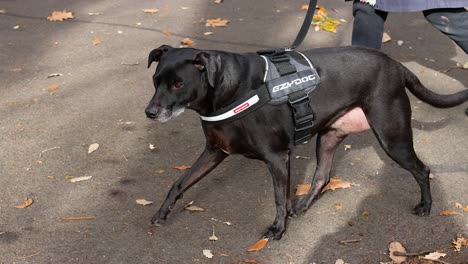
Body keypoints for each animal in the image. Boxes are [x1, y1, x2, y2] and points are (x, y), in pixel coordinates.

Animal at [145, 44, 468, 239]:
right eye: (156, 81)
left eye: (179, 84)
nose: (150, 112)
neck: (229, 89)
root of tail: (396, 65)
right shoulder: (214, 151)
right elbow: (179, 183)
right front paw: (162, 212)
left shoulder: (277, 158)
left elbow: (278, 197)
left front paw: (278, 228)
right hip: (328, 137)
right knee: (322, 177)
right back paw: (302, 207)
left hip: (393, 138)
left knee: (422, 170)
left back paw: (426, 206)